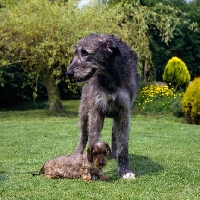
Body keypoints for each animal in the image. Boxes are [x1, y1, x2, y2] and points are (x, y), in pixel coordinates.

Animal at [66, 33, 138, 179]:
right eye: (75, 53)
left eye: (85, 52)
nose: (68, 72)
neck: (110, 76)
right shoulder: (96, 111)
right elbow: (93, 137)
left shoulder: (124, 112)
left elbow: (123, 145)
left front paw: (125, 171)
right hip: (83, 115)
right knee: (83, 136)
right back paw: (77, 153)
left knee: (114, 133)